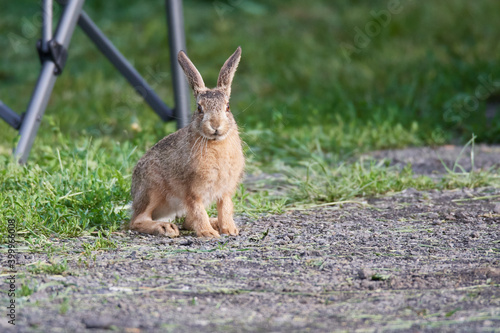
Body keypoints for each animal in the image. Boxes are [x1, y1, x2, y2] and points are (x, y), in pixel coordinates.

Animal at [130, 48, 245, 237]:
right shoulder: (192, 191)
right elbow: (198, 211)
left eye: (227, 107)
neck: (215, 143)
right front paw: (208, 234)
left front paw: (229, 230)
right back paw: (166, 228)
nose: (215, 126)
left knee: (187, 221)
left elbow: (226, 208)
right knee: (135, 221)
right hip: (151, 191)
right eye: (199, 108)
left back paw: (215, 223)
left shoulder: (224, 191)